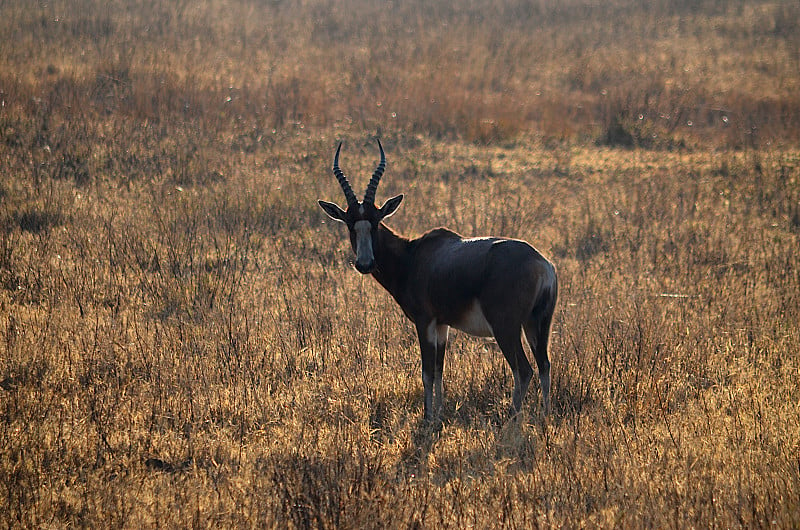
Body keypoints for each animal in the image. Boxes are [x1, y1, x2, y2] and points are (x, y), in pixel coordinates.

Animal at [318, 138, 556, 418]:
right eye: (350, 224)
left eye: (375, 222)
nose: (365, 264)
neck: (413, 255)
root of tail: (541, 264)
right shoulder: (443, 326)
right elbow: (440, 371)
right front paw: (440, 413)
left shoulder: (425, 322)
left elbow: (427, 373)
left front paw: (428, 416)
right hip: (537, 324)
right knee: (544, 365)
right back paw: (545, 416)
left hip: (505, 327)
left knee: (524, 370)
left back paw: (512, 419)